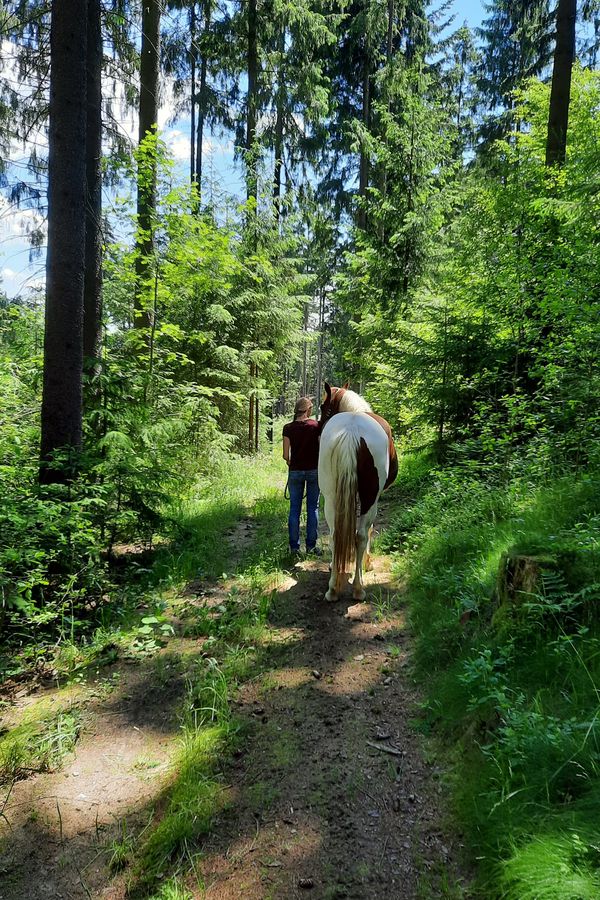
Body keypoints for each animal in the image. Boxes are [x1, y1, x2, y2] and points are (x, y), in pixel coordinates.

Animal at [318, 382, 398, 603]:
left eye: (322, 407)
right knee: (361, 535)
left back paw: (333, 589)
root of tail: (352, 431)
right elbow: (368, 531)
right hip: (370, 497)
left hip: (330, 497)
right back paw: (358, 587)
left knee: (335, 535)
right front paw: (366, 563)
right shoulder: (374, 498)